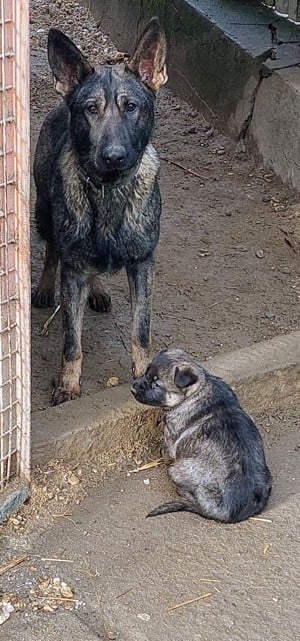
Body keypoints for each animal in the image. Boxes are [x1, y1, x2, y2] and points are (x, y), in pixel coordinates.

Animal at [33, 18, 169, 404]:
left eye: (131, 107)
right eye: (91, 109)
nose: (114, 156)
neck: (110, 192)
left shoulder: (142, 265)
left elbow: (141, 330)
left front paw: (144, 373)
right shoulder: (74, 270)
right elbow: (71, 341)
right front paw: (68, 386)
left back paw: (96, 291)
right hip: (43, 211)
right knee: (52, 250)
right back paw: (45, 287)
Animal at [131, 348, 272, 524]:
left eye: (156, 383)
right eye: (146, 373)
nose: (133, 388)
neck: (200, 388)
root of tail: (229, 512)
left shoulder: (170, 440)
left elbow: (166, 449)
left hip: (177, 469)